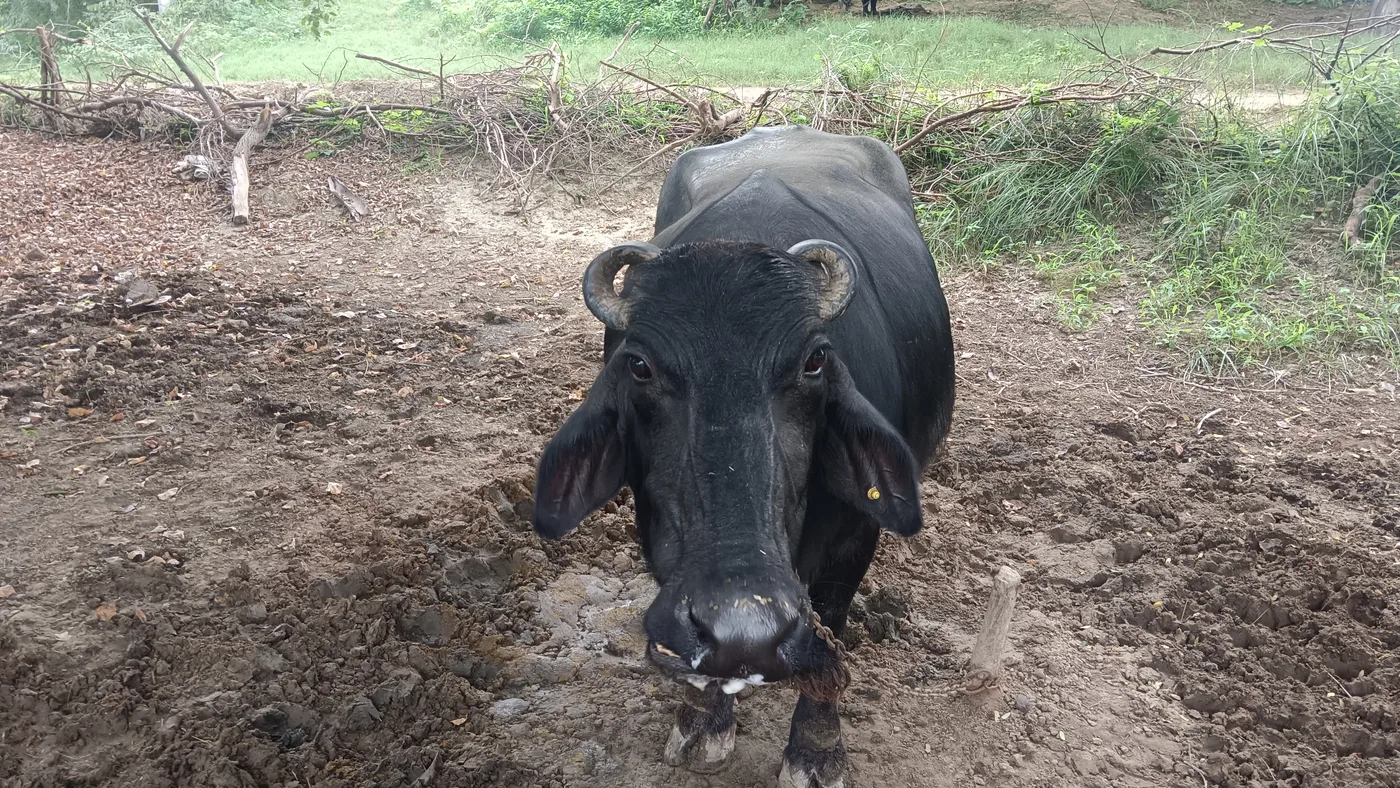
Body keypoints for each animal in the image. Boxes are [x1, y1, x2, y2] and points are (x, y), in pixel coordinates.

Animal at [532, 124, 955, 787]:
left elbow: (829, 626)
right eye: (640, 365)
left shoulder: (855, 537)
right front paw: (703, 719)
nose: (745, 630)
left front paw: (817, 750)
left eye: (815, 360)